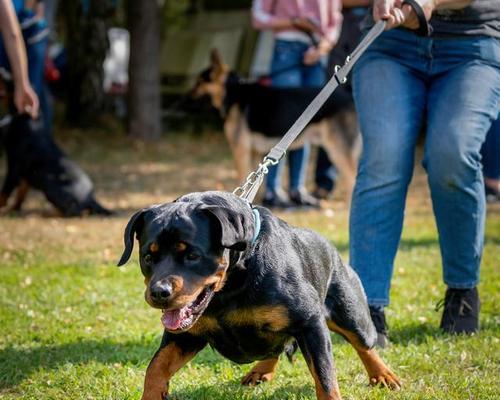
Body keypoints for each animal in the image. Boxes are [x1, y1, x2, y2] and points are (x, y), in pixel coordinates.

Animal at [118, 191, 402, 400]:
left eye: (192, 255)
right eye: (148, 257)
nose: (159, 292)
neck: (231, 285)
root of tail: (331, 249)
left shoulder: (309, 323)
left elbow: (325, 377)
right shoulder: (185, 335)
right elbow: (156, 367)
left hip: (349, 309)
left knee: (364, 343)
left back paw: (383, 375)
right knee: (275, 346)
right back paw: (260, 371)